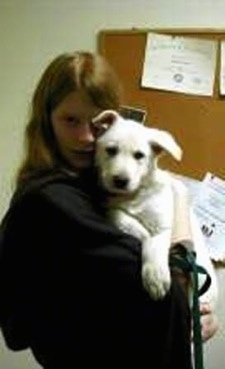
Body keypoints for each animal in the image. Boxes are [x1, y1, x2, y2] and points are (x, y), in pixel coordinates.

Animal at [92, 110, 217, 304]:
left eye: (139, 155)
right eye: (111, 150)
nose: (120, 181)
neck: (134, 194)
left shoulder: (163, 224)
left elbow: (155, 246)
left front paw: (155, 276)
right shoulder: (109, 206)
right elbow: (122, 218)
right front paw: (140, 231)